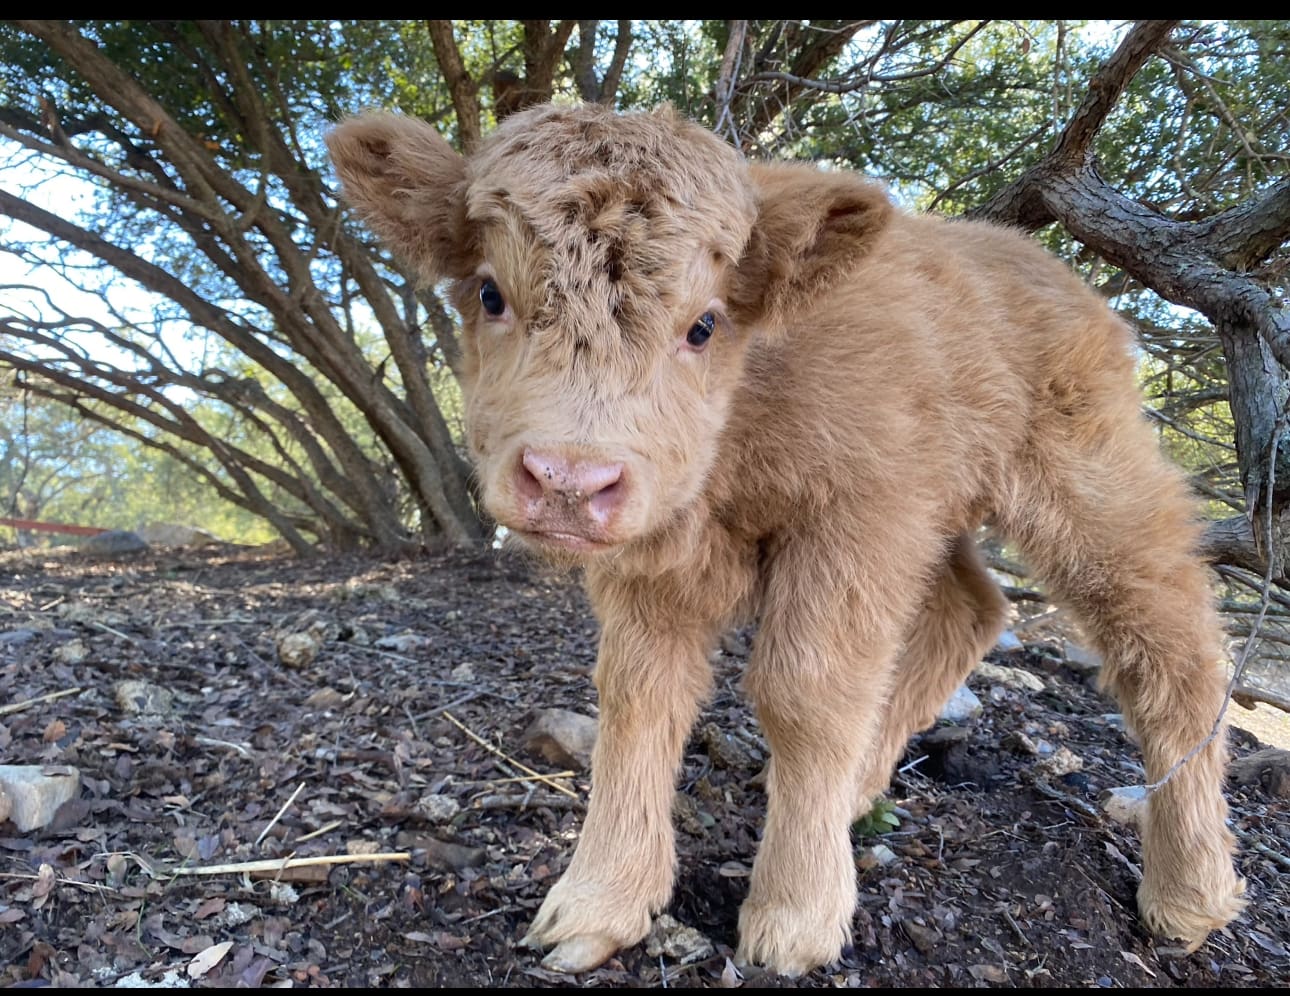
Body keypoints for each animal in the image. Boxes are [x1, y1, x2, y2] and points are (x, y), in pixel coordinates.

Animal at [327, 103, 1245, 976]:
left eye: (703, 325)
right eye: (490, 295)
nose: (568, 480)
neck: (748, 406)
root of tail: (1052, 272)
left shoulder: (857, 525)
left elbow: (805, 693)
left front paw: (795, 916)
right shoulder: (661, 560)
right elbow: (639, 697)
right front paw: (599, 903)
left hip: (1089, 490)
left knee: (1172, 649)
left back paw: (1191, 892)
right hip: (944, 514)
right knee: (973, 608)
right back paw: (857, 792)